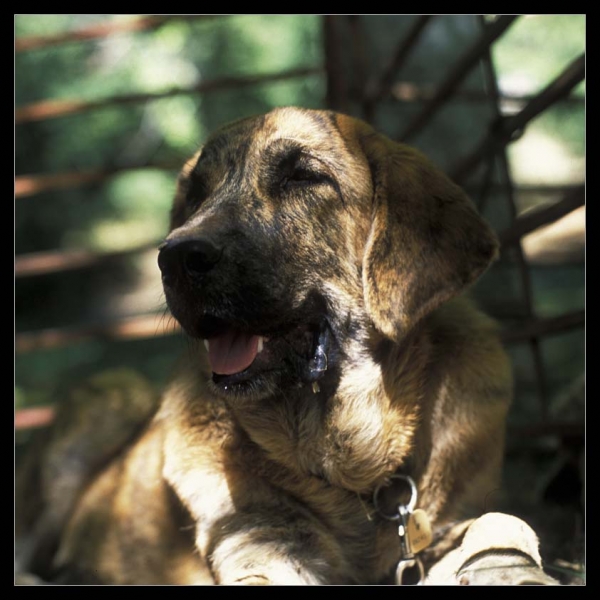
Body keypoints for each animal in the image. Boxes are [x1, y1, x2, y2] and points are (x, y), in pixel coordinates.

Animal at [16, 108, 516, 584]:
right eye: (196, 193)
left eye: (302, 177)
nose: (174, 257)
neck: (355, 465)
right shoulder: (262, 540)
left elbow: (496, 529)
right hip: (107, 397)